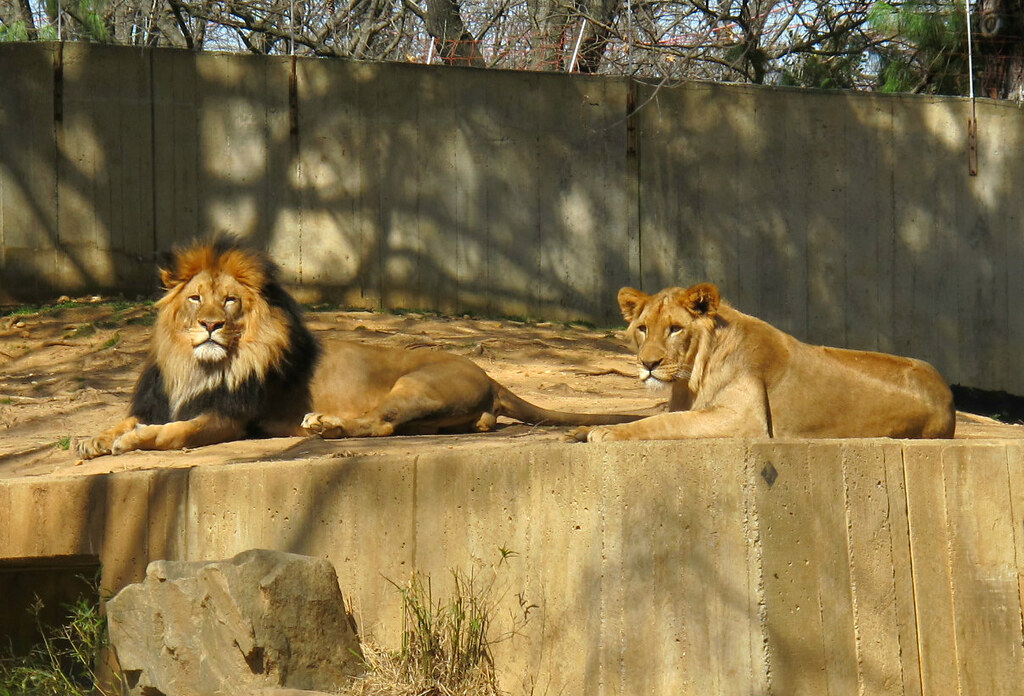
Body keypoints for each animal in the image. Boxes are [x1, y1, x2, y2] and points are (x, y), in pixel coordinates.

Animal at [76, 238, 640, 459]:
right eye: (195, 298)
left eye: (230, 301)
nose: (210, 325)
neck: (196, 366)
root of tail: (493, 377)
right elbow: (128, 420)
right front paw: (94, 439)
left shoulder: (228, 418)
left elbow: (174, 433)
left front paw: (132, 442)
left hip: (416, 384)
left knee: (382, 423)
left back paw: (325, 425)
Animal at [571, 282, 956, 443]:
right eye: (643, 328)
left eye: (675, 328)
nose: (648, 363)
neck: (690, 378)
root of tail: (947, 393)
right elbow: (649, 417)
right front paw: (583, 428)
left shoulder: (744, 420)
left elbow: (661, 423)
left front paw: (606, 433)